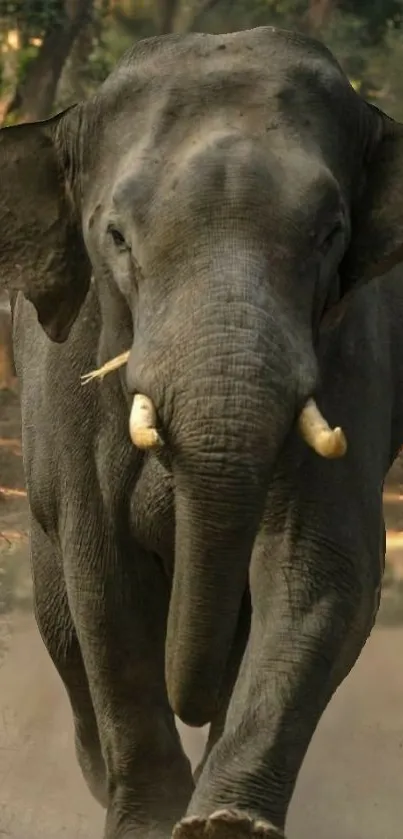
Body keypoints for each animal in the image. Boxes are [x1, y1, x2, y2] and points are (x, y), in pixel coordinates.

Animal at [0, 23, 403, 839]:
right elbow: (107, 580)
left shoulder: (355, 343)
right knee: (65, 622)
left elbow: (320, 564)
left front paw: (222, 823)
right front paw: (148, 821)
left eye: (330, 235)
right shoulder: (68, 372)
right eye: (116, 237)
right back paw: (101, 774)